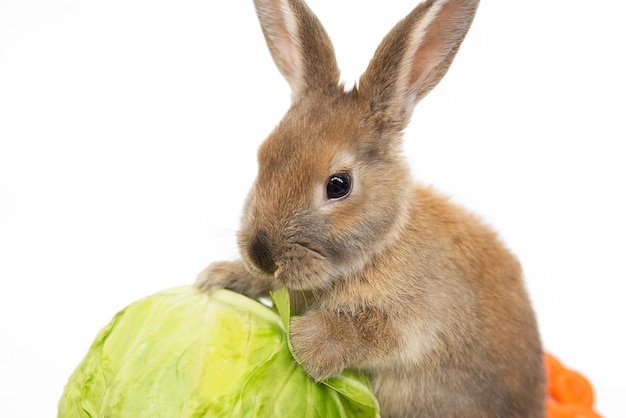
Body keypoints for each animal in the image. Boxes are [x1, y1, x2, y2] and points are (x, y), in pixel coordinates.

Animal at [195, 0, 540, 416]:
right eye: (263, 157)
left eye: (338, 185)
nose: (261, 254)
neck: (380, 247)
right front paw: (218, 277)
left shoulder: (417, 323)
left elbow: (372, 332)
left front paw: (306, 344)